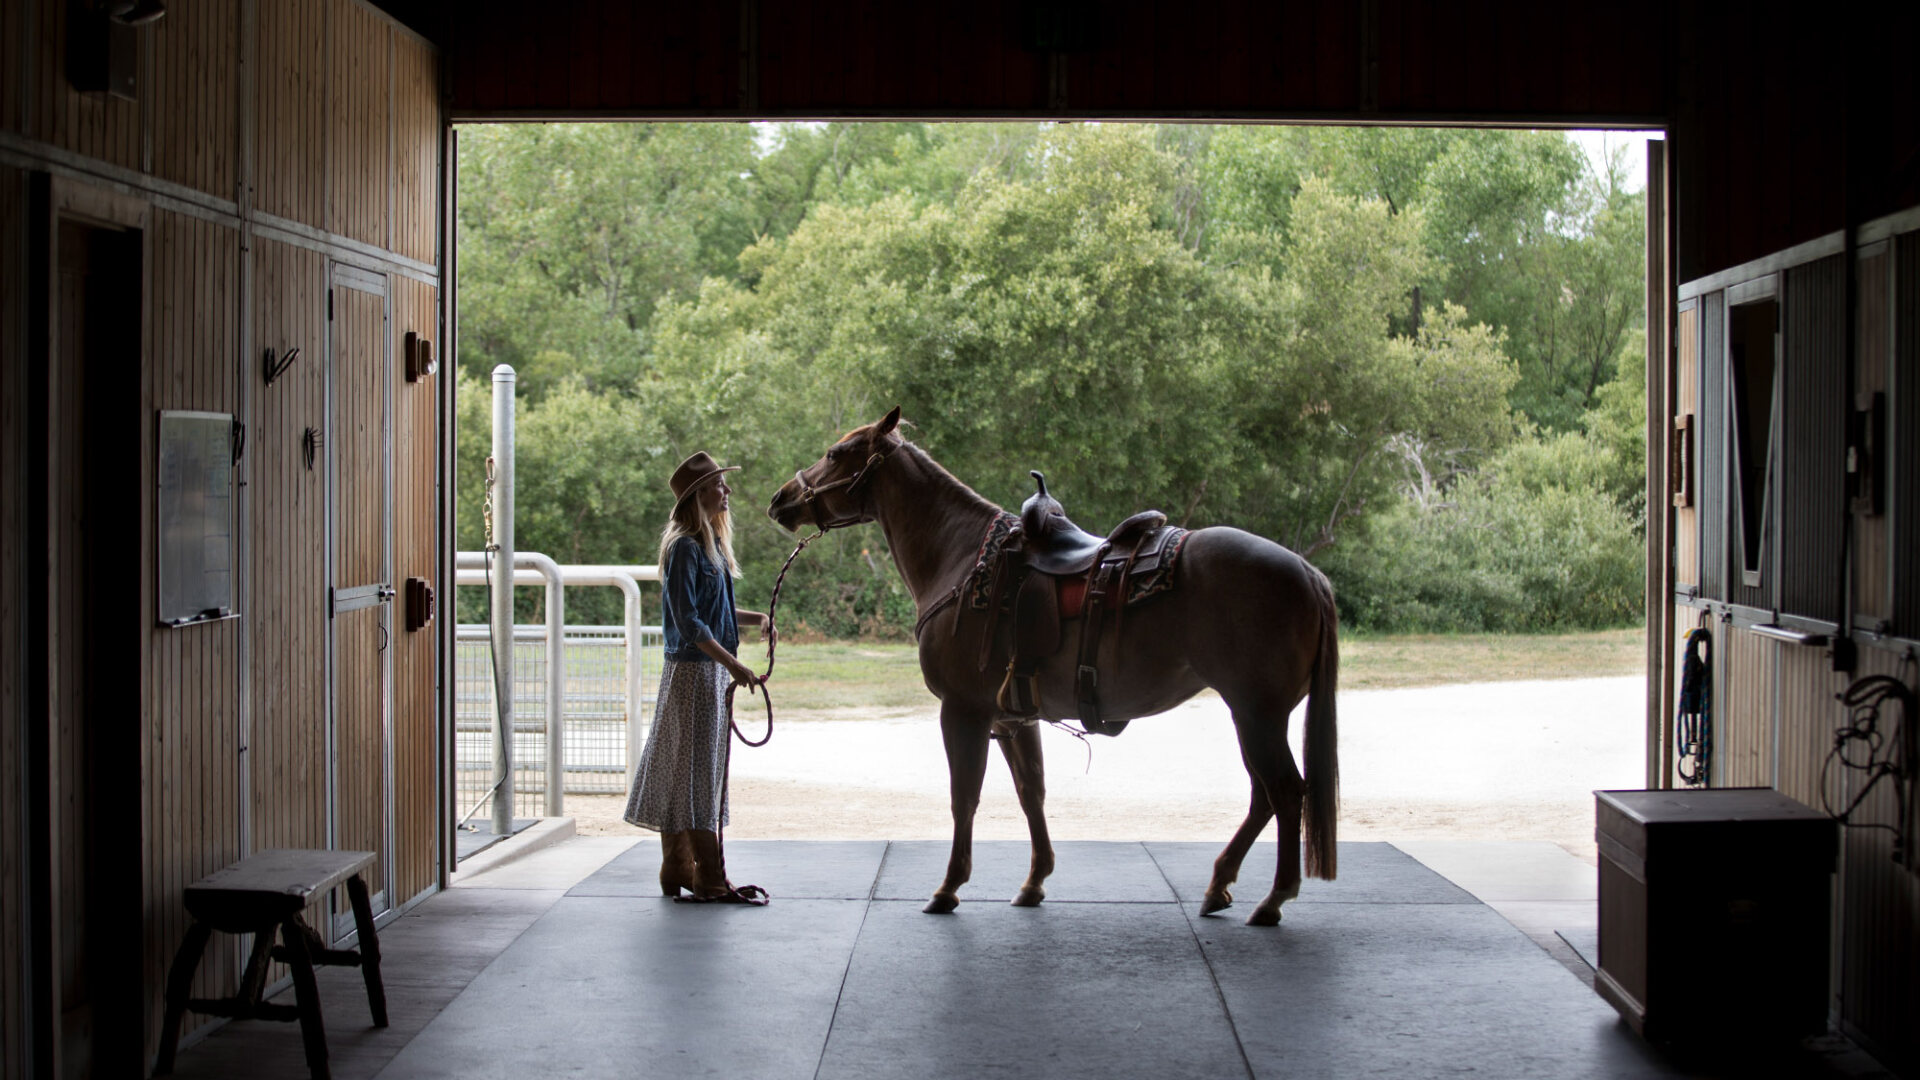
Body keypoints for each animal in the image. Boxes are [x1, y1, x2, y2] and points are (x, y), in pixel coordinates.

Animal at [760, 405, 1336, 926]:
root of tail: (1307, 572)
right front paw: (1034, 881)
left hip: (1257, 714)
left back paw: (1273, 899)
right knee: (1264, 796)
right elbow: (1030, 791)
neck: (961, 556)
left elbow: (964, 797)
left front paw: (949, 888)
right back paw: (1219, 886)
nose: (780, 499)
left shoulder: (963, 712)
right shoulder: (1015, 717)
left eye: (836, 453)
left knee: (1285, 792)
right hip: (1252, 715)